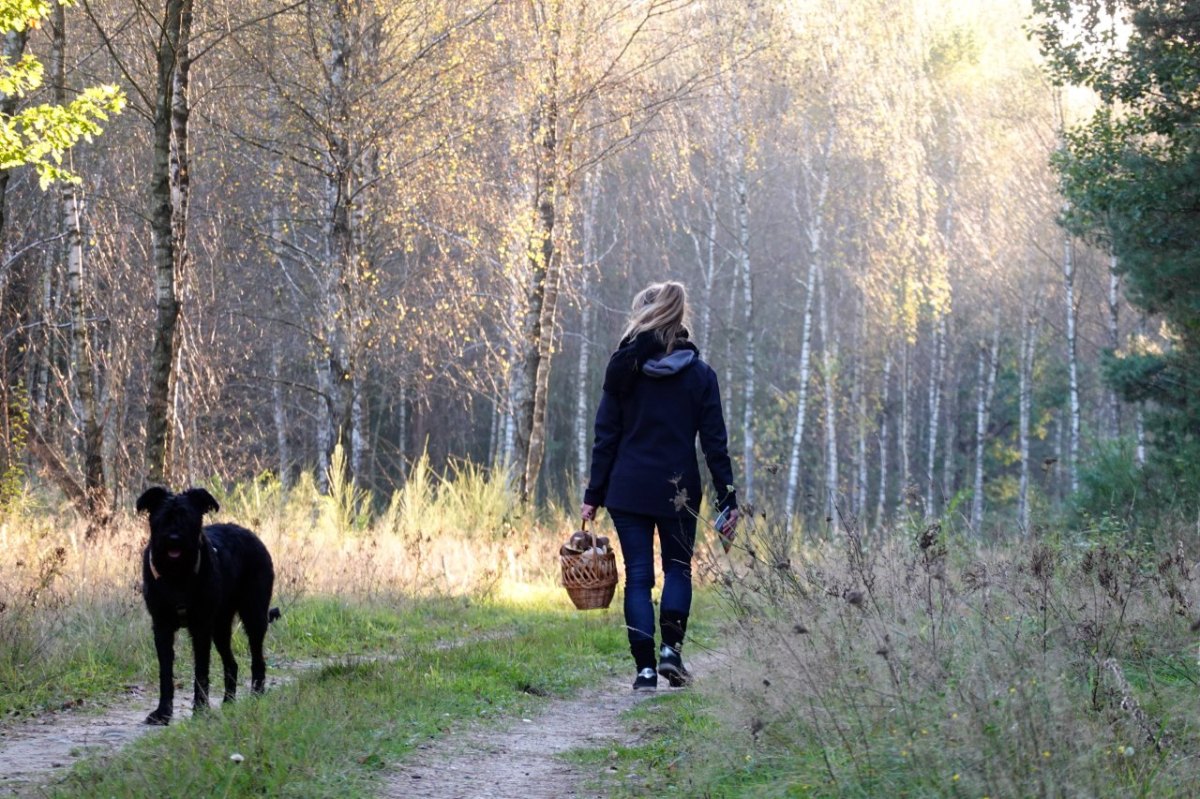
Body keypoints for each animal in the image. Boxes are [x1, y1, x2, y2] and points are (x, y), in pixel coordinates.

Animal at [135, 484, 278, 719]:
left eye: (187, 517)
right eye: (162, 518)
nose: (174, 538)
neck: (176, 576)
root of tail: (251, 535)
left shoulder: (201, 627)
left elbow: (201, 670)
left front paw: (200, 708)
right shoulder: (162, 627)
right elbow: (165, 672)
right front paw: (163, 712)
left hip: (253, 616)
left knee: (258, 660)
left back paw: (256, 695)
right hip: (220, 627)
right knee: (232, 664)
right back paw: (228, 701)